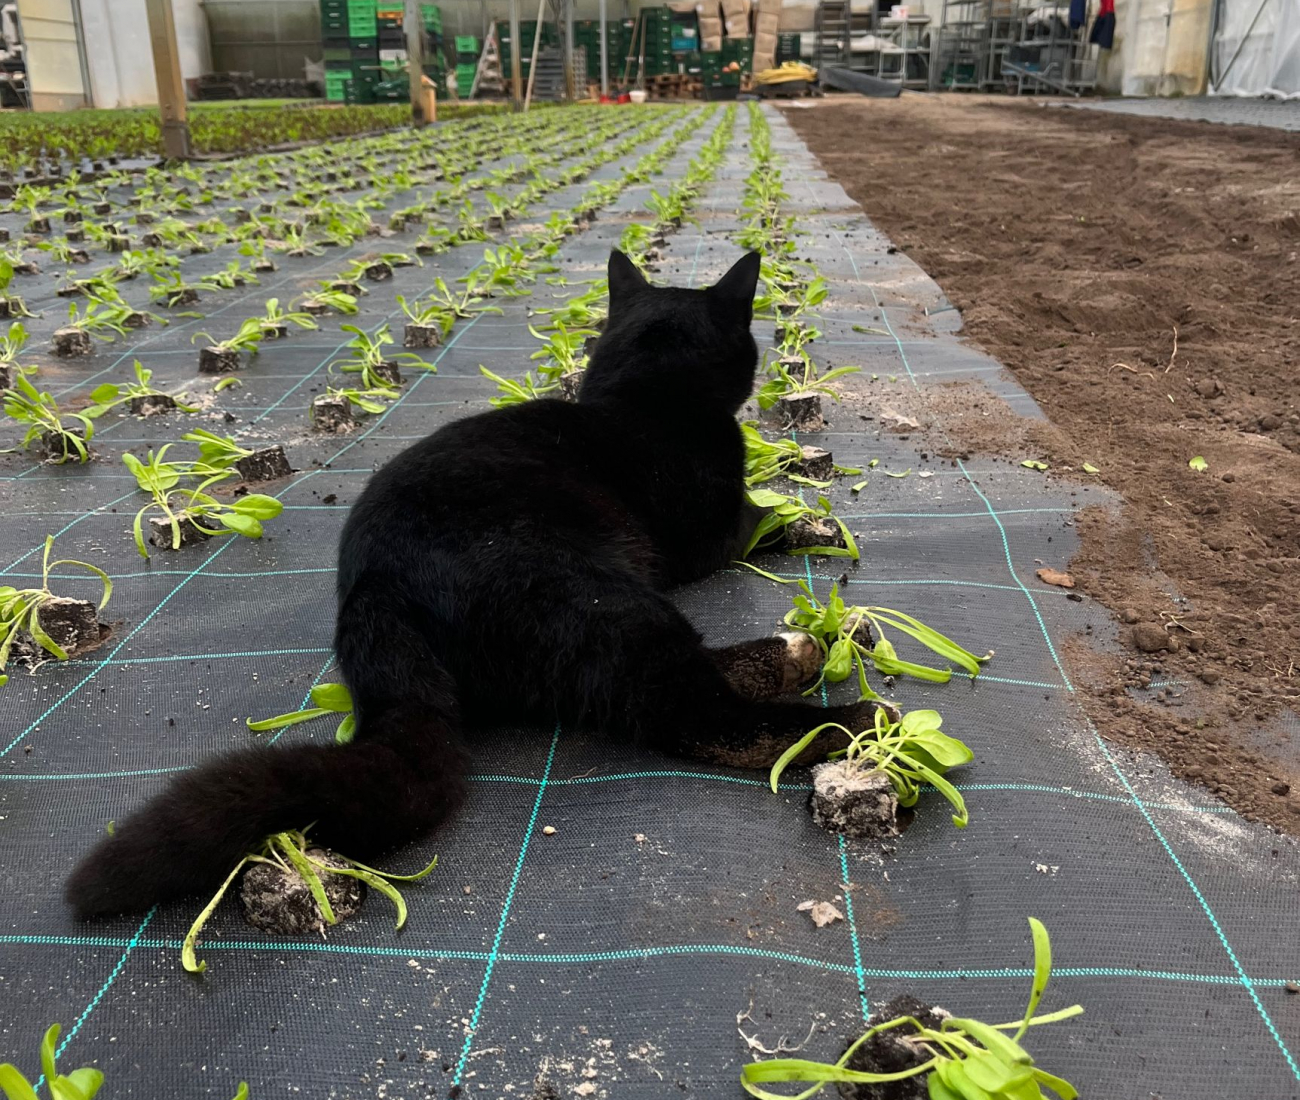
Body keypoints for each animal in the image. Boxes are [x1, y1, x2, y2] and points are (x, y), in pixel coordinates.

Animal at [61, 252, 873, 920]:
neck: (644, 399)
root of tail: (375, 591)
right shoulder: (712, 535)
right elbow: (769, 516)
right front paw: (815, 519)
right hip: (599, 595)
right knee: (692, 713)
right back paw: (846, 717)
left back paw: (794, 653)